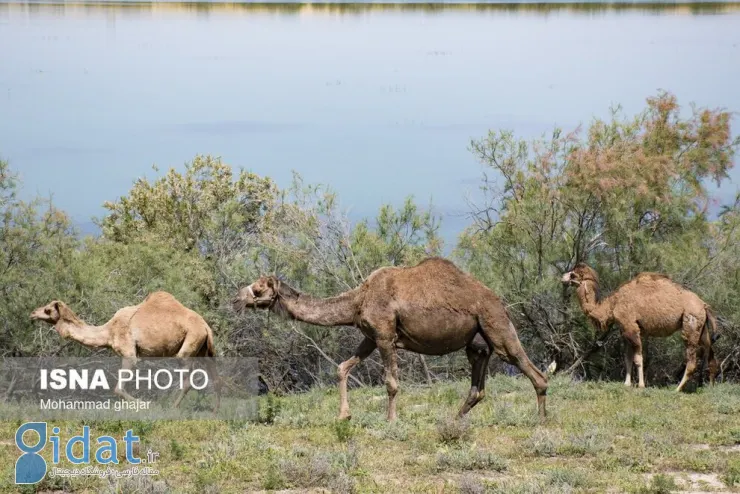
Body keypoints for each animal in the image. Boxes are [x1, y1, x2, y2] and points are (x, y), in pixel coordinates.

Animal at [30, 292, 221, 412]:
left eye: (47, 310)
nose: (32, 313)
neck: (109, 331)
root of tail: (205, 326)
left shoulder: (129, 352)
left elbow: (118, 389)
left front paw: (146, 404)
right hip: (204, 349)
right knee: (214, 376)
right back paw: (215, 410)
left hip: (191, 341)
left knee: (187, 378)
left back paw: (172, 407)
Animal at [233, 256, 548, 422]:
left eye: (258, 289)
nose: (236, 299)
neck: (358, 300)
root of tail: (498, 300)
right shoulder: (370, 337)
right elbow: (342, 367)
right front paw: (344, 415)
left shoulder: (385, 336)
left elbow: (391, 383)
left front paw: (391, 420)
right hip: (477, 339)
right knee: (478, 381)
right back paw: (455, 419)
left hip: (495, 324)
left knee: (530, 368)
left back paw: (540, 420)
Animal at [560, 264, 716, 392]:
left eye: (573, 274)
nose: (562, 277)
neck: (612, 304)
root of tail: (704, 305)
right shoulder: (624, 330)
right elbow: (627, 358)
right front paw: (627, 384)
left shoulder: (631, 327)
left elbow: (638, 358)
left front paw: (641, 385)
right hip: (702, 329)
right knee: (709, 354)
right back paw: (708, 386)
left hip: (691, 324)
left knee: (692, 360)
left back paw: (677, 389)